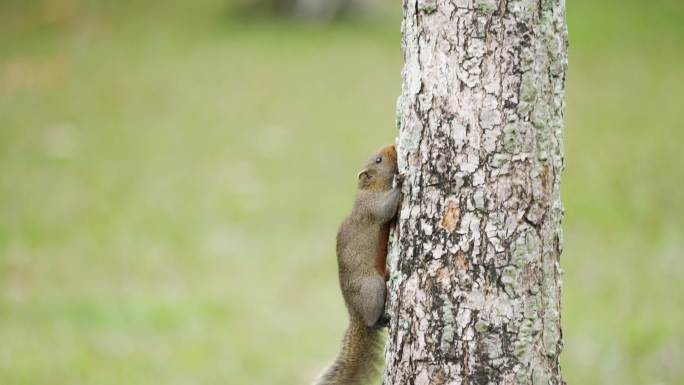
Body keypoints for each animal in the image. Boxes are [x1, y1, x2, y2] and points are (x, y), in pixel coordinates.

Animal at [314, 143, 404, 384]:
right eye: (379, 160)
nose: (393, 145)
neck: (370, 189)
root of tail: (355, 314)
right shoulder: (371, 208)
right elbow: (386, 209)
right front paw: (400, 182)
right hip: (371, 287)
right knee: (372, 319)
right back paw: (381, 319)